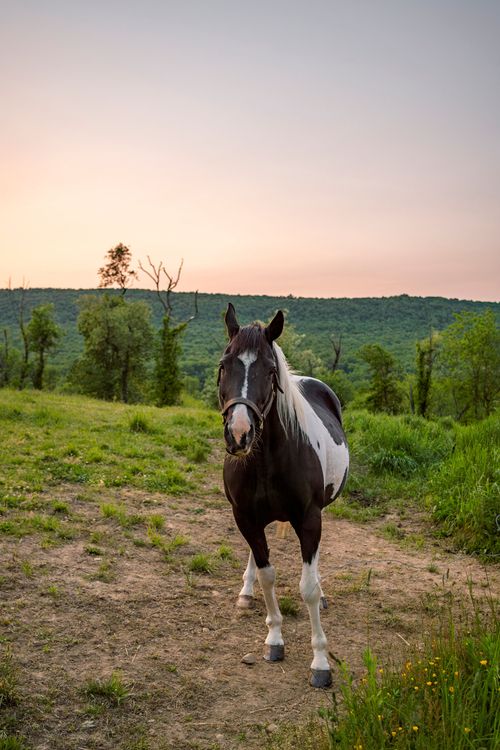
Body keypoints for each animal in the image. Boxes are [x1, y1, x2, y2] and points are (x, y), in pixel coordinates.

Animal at [218, 303, 349, 688]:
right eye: (224, 365)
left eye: (270, 370)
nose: (239, 434)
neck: (266, 459)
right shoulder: (245, 516)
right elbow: (267, 575)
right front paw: (274, 639)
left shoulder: (309, 519)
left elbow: (308, 588)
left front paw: (320, 661)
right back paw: (245, 593)